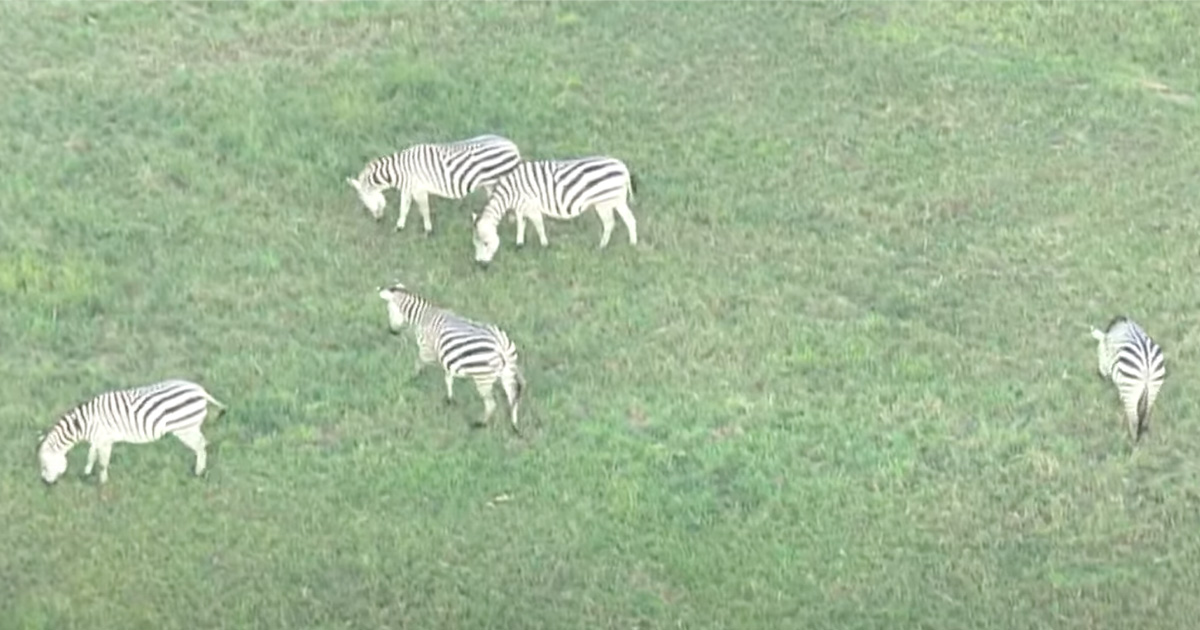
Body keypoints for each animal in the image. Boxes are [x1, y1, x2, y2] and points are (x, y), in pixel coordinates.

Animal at [37, 379, 227, 485]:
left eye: (44, 465)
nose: (45, 483)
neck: (83, 424)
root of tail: (200, 390)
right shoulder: (98, 439)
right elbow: (91, 456)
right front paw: (87, 473)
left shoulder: (105, 440)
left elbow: (102, 462)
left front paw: (102, 483)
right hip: (191, 427)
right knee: (204, 444)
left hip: (185, 429)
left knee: (201, 446)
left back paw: (198, 472)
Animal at [346, 134, 523, 234]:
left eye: (365, 202)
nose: (378, 220)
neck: (400, 172)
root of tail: (512, 146)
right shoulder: (407, 190)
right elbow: (404, 208)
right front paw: (399, 227)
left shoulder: (419, 190)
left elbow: (424, 210)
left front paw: (428, 231)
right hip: (490, 183)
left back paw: (511, 222)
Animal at [378, 282, 525, 432]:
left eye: (389, 310)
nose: (392, 331)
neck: (423, 316)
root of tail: (500, 345)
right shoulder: (448, 358)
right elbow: (448, 378)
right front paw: (449, 399)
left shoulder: (427, 351)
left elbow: (418, 363)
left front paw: (413, 378)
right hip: (507, 372)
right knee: (513, 397)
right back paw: (514, 426)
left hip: (483, 377)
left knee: (491, 404)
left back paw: (480, 424)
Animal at [470, 155, 638, 266]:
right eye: (475, 244)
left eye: (485, 243)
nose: (480, 265)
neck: (511, 192)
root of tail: (622, 166)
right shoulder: (521, 207)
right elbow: (521, 224)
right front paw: (519, 244)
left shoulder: (531, 206)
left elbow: (538, 225)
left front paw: (544, 245)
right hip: (617, 201)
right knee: (630, 220)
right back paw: (632, 244)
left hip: (604, 203)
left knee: (610, 223)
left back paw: (601, 246)